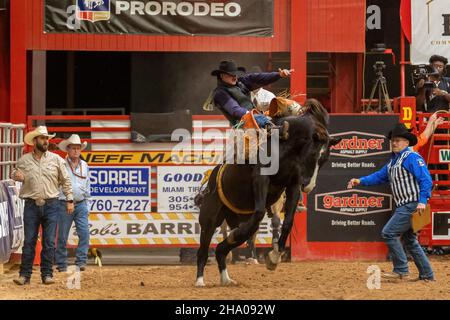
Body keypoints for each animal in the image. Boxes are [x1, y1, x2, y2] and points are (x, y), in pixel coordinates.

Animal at [195, 97, 340, 284]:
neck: (286, 146)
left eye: (325, 158)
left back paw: (226, 278)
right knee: (203, 250)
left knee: (223, 248)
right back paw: (200, 281)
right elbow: (258, 214)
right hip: (209, 218)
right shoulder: (261, 178)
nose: (308, 186)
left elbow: (287, 222)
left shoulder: (293, 184)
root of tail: (211, 178)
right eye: (312, 154)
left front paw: (274, 257)